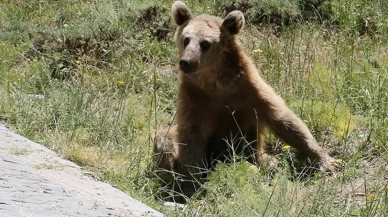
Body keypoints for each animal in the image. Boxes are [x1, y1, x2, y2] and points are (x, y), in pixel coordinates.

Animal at [153, 1, 338, 202]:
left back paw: (269, 162)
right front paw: (193, 183)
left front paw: (326, 160)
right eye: (186, 39)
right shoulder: (195, 98)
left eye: (205, 43)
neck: (216, 84)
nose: (186, 62)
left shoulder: (250, 92)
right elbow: (191, 136)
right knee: (162, 140)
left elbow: (285, 120)